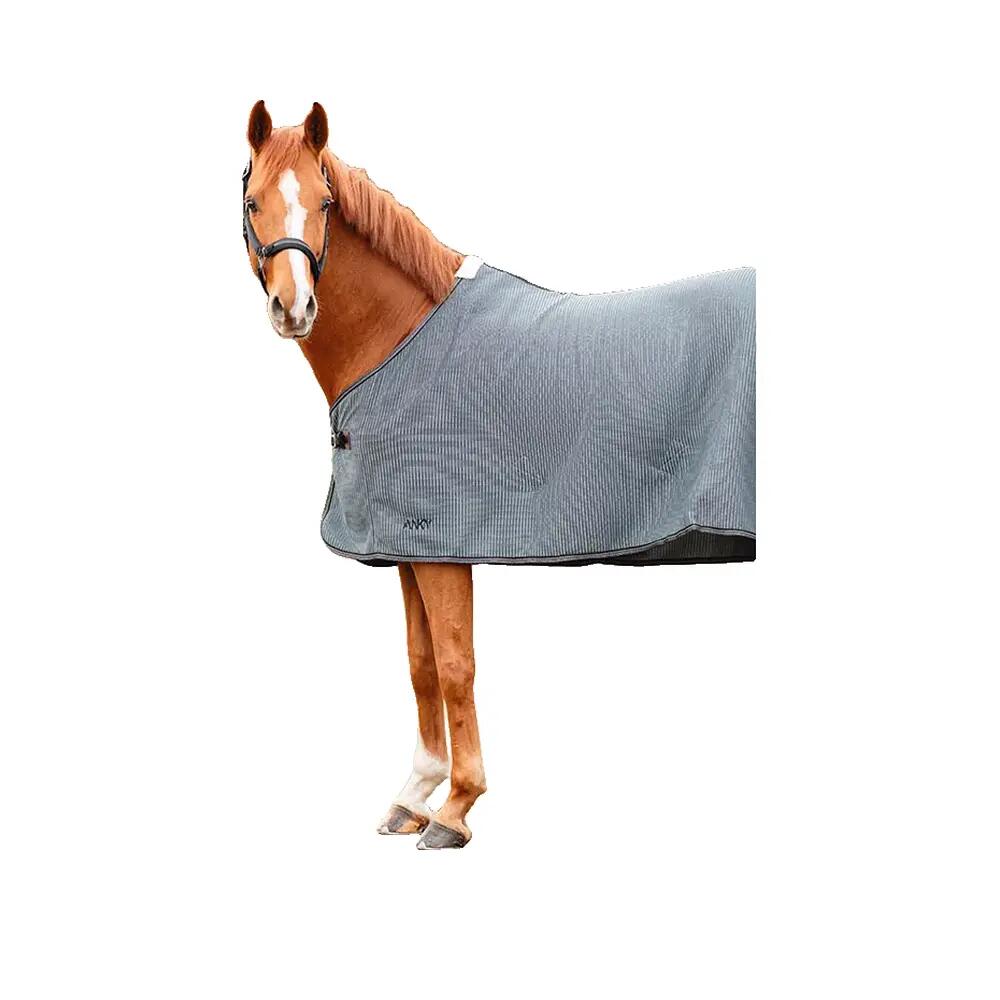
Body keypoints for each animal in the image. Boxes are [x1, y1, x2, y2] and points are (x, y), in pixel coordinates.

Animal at [239, 101, 755, 849]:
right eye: (254, 201)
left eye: (326, 202)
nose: (294, 308)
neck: (398, 337)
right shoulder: (407, 544)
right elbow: (421, 661)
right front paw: (415, 793)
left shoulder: (443, 543)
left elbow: (456, 665)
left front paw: (455, 808)